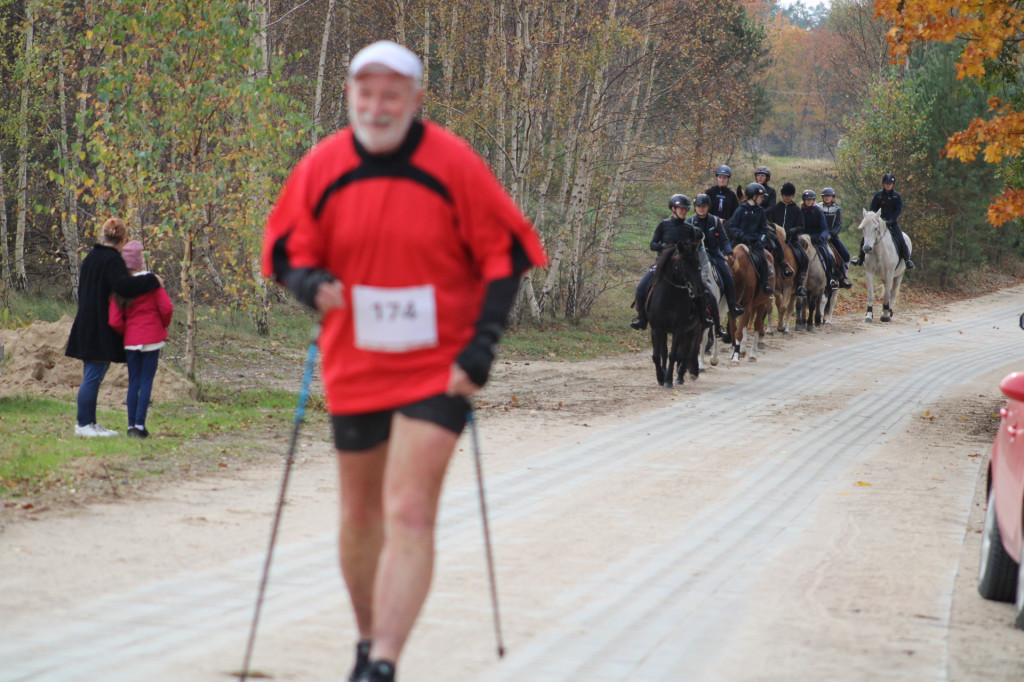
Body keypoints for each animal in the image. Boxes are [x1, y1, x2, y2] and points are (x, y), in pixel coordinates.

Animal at [647, 241, 704, 385]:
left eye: (697, 262)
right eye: (682, 264)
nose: (700, 289)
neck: (669, 297)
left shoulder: (679, 329)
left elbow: (674, 355)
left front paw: (668, 380)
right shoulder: (657, 328)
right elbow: (657, 355)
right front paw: (660, 377)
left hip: (693, 330)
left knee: (687, 352)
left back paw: (680, 376)